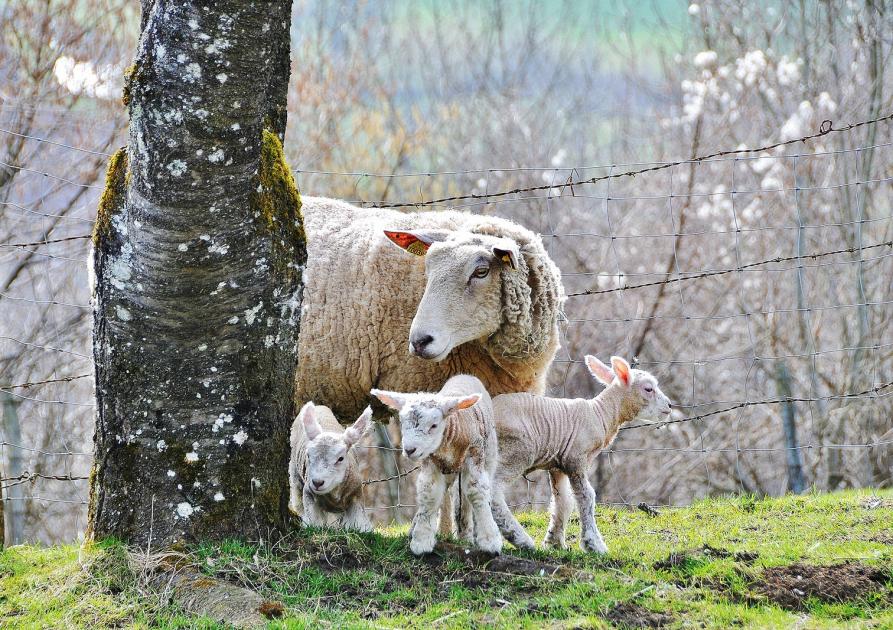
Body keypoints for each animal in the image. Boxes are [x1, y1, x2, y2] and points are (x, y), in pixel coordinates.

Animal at [290, 402, 374, 532]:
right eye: (308, 455)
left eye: (341, 458)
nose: (317, 482)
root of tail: (318, 406)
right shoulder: (309, 492)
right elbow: (314, 523)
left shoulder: (356, 495)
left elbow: (361, 525)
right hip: (295, 474)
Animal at [372, 378, 502, 556]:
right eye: (402, 423)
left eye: (434, 425)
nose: (409, 450)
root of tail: (465, 375)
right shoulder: (430, 460)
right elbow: (430, 493)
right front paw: (421, 540)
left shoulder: (475, 453)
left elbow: (476, 492)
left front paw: (490, 540)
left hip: (489, 455)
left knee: (466, 495)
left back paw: (466, 535)